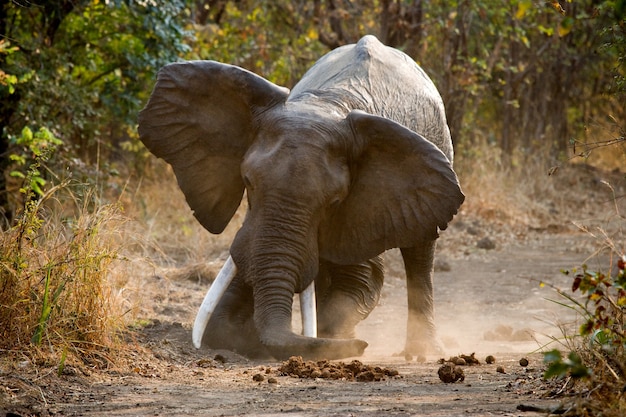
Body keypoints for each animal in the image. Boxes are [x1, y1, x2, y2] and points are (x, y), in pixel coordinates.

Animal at [138, 35, 464, 360]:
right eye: (247, 182)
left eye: (334, 202)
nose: (363, 347)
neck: (327, 102)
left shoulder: (366, 206)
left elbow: (362, 279)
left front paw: (337, 340)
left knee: (420, 254)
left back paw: (421, 352)